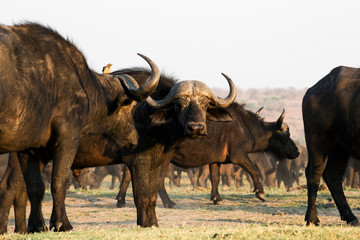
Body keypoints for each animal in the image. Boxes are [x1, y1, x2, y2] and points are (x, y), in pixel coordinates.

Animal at [0, 23, 160, 232]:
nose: (135, 140)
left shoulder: (29, 149)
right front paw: (62, 223)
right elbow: (59, 180)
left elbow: (36, 187)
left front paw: (37, 226)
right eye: (132, 106)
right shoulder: (68, 137)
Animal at [302, 66, 360, 227]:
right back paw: (312, 218)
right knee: (313, 174)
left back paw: (350, 217)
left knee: (332, 176)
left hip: (340, 148)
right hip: (317, 142)